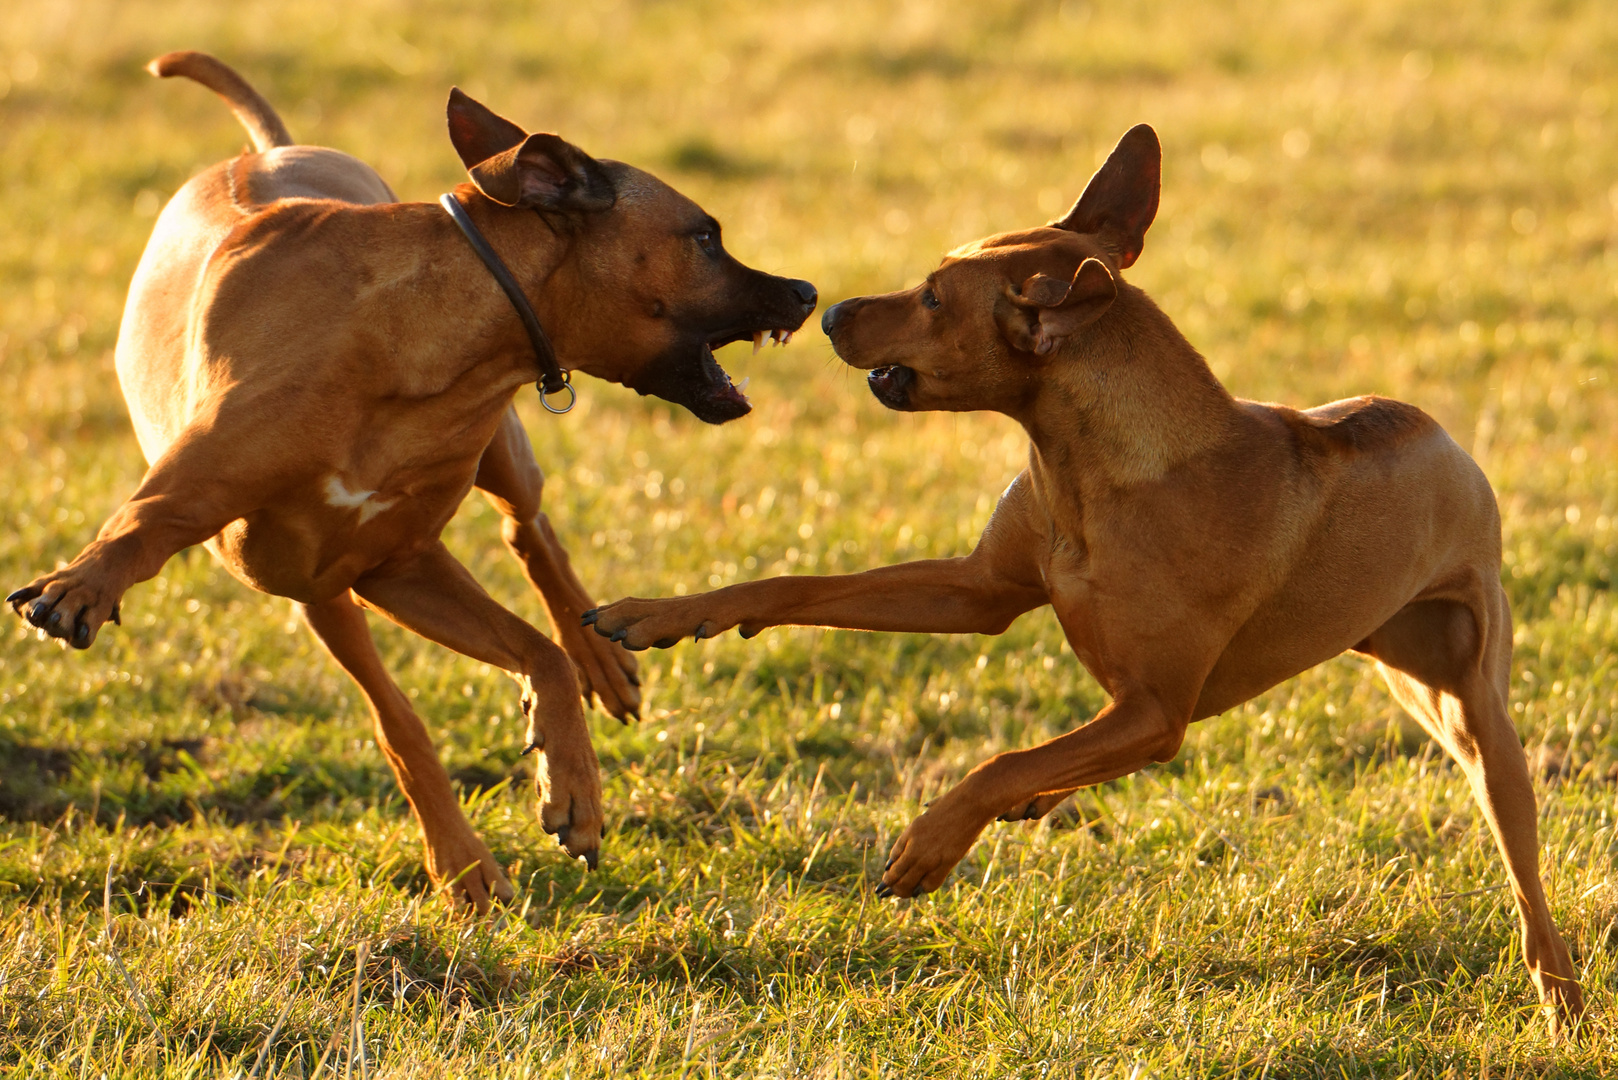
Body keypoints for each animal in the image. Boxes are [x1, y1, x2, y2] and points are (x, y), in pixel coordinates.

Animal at [9, 52, 821, 913]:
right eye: (705, 236)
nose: (807, 292)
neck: (416, 341)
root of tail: (271, 147)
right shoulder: (327, 568)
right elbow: (149, 529)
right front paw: (79, 584)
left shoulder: (396, 564)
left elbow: (540, 652)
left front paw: (571, 790)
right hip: (329, 585)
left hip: (502, 452)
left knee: (529, 527)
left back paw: (601, 658)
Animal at [582, 127, 1579, 1036]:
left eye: (934, 297)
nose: (826, 310)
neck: (1096, 467)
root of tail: (1439, 432)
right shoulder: (980, 592)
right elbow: (800, 586)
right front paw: (661, 614)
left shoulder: (1157, 711)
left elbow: (1001, 759)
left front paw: (929, 846)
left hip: (1471, 718)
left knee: (1523, 871)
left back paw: (1560, 996)